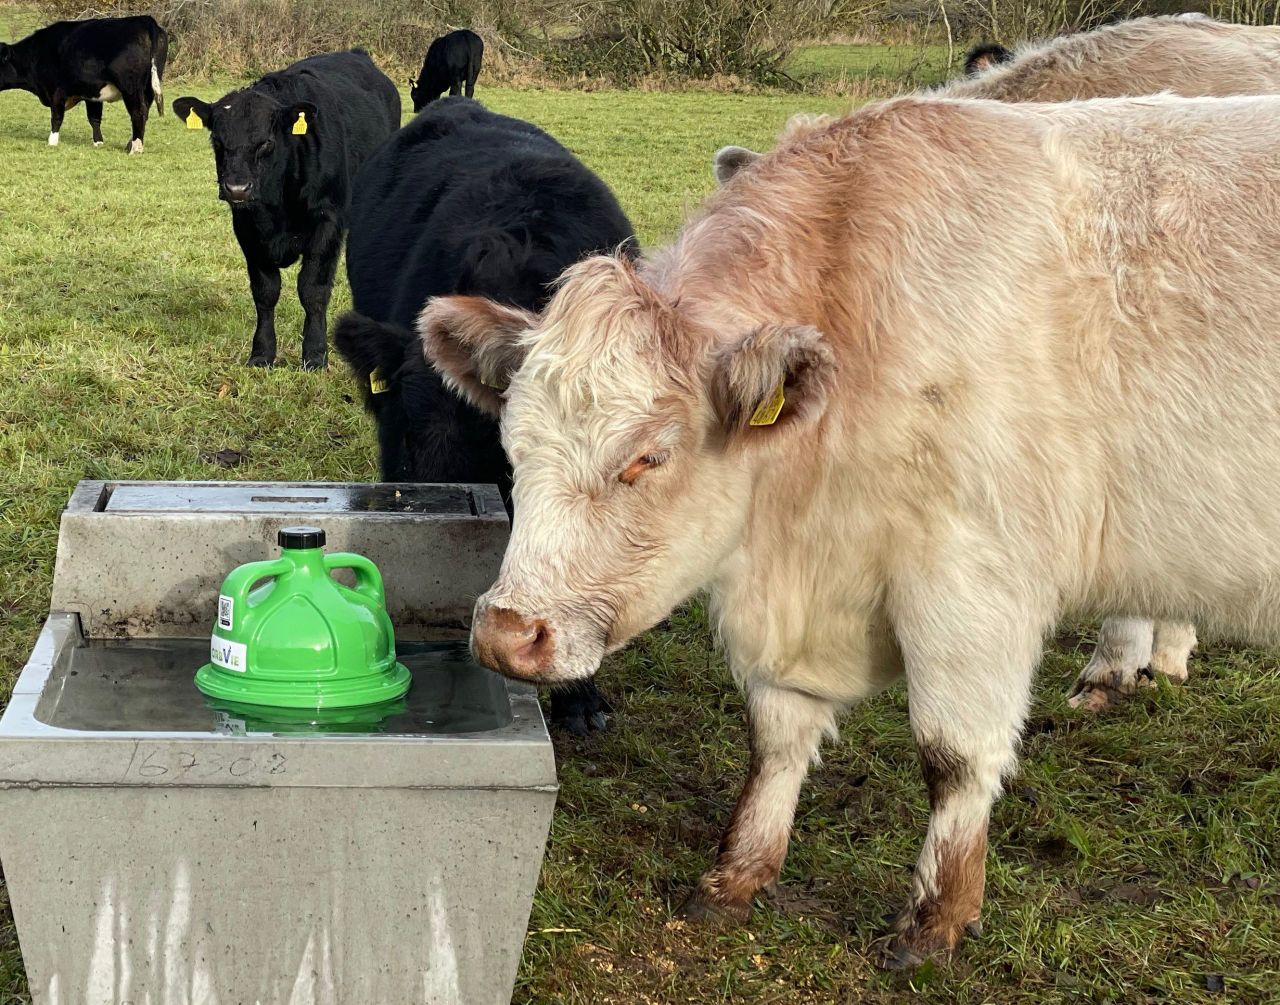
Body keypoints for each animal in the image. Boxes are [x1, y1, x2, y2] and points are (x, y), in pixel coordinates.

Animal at [0, 15, 167, 153]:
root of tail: (145, 20)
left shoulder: (56, 91)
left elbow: (56, 117)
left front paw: (52, 142)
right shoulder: (92, 93)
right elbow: (94, 118)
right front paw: (98, 143)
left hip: (130, 88)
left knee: (138, 113)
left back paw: (136, 148)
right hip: (148, 87)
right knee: (144, 113)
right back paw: (129, 145)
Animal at [173, 51, 400, 370]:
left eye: (266, 143)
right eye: (217, 140)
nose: (237, 188)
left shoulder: (328, 221)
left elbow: (312, 290)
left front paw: (315, 355)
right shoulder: (246, 228)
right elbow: (265, 292)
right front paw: (262, 353)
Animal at [418, 92, 1280, 967]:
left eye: (648, 457)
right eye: (513, 444)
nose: (506, 632)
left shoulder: (976, 586)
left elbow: (954, 754)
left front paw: (936, 917)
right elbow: (777, 733)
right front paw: (739, 874)